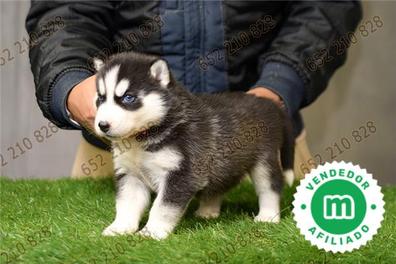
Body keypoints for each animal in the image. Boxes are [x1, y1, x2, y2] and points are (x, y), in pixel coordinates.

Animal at [93, 51, 294, 239]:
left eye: (128, 98)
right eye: (101, 98)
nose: (102, 125)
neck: (141, 139)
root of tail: (269, 103)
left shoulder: (182, 173)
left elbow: (162, 207)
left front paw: (152, 232)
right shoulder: (129, 174)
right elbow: (126, 204)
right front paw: (120, 227)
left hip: (264, 160)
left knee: (270, 187)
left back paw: (268, 216)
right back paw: (208, 211)